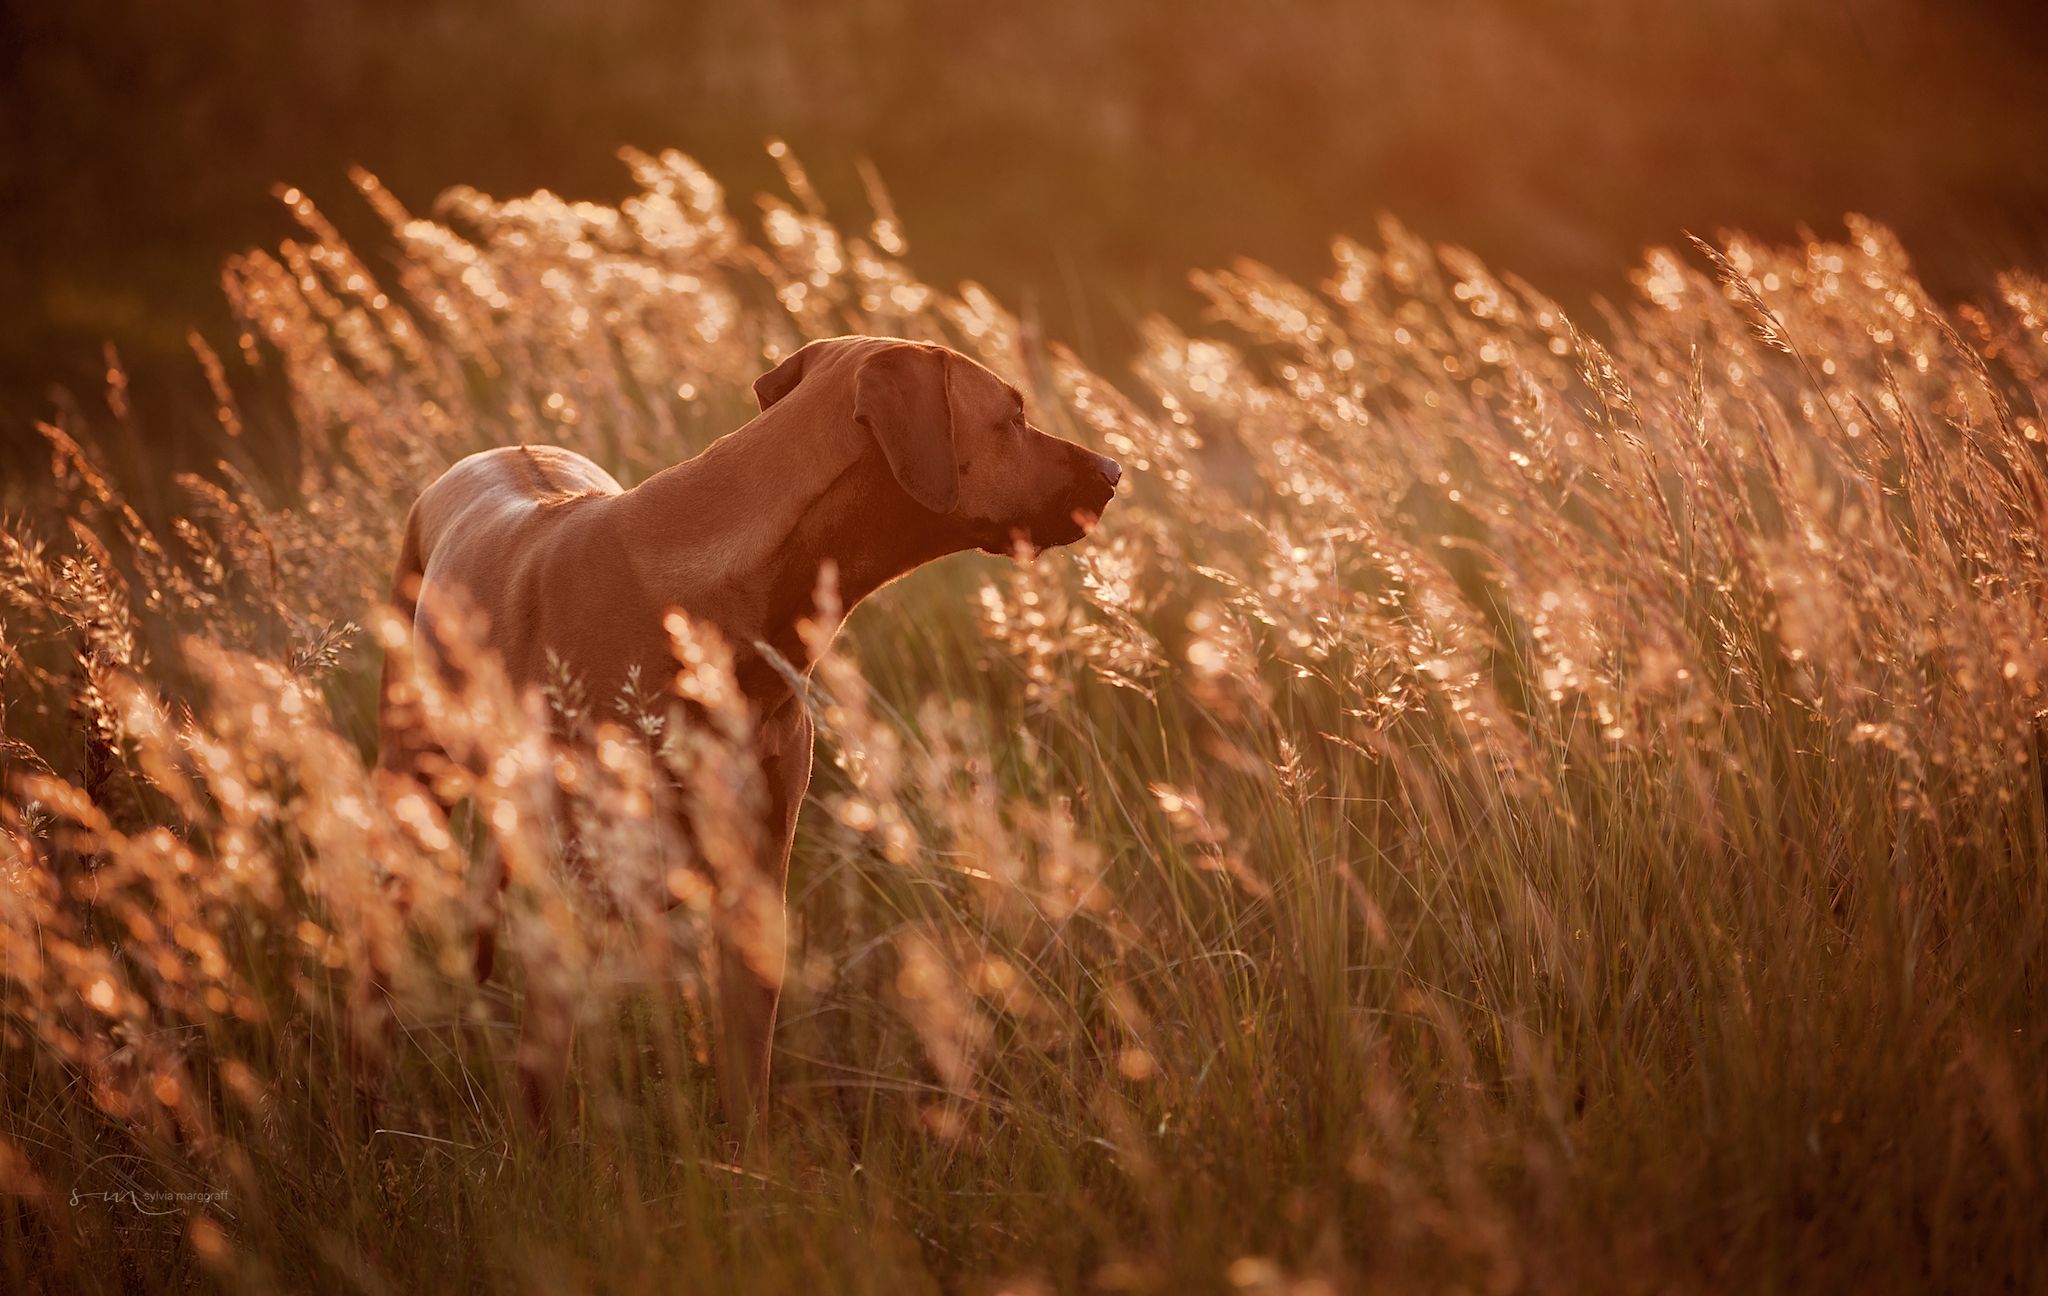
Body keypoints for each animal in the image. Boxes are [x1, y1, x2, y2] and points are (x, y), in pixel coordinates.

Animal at [380, 333, 1122, 1121]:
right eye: (1012, 417)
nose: (1114, 471)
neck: (712, 601)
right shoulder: (574, 901)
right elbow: (542, 1090)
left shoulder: (756, 892)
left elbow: (746, 1084)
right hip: (410, 796)